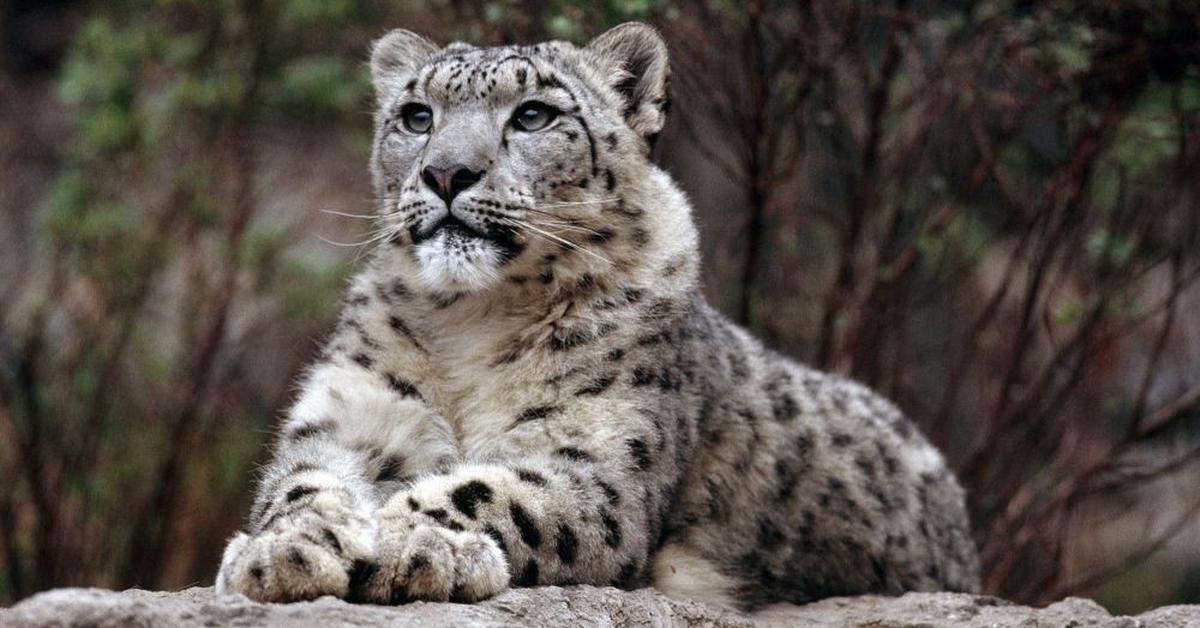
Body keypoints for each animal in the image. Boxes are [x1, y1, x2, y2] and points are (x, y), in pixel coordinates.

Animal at [216, 22, 979, 607]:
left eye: (533, 114)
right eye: (416, 116)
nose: (446, 173)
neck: (473, 322)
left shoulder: (598, 460)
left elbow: (493, 490)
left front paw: (420, 543)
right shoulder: (355, 416)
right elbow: (301, 482)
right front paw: (282, 553)